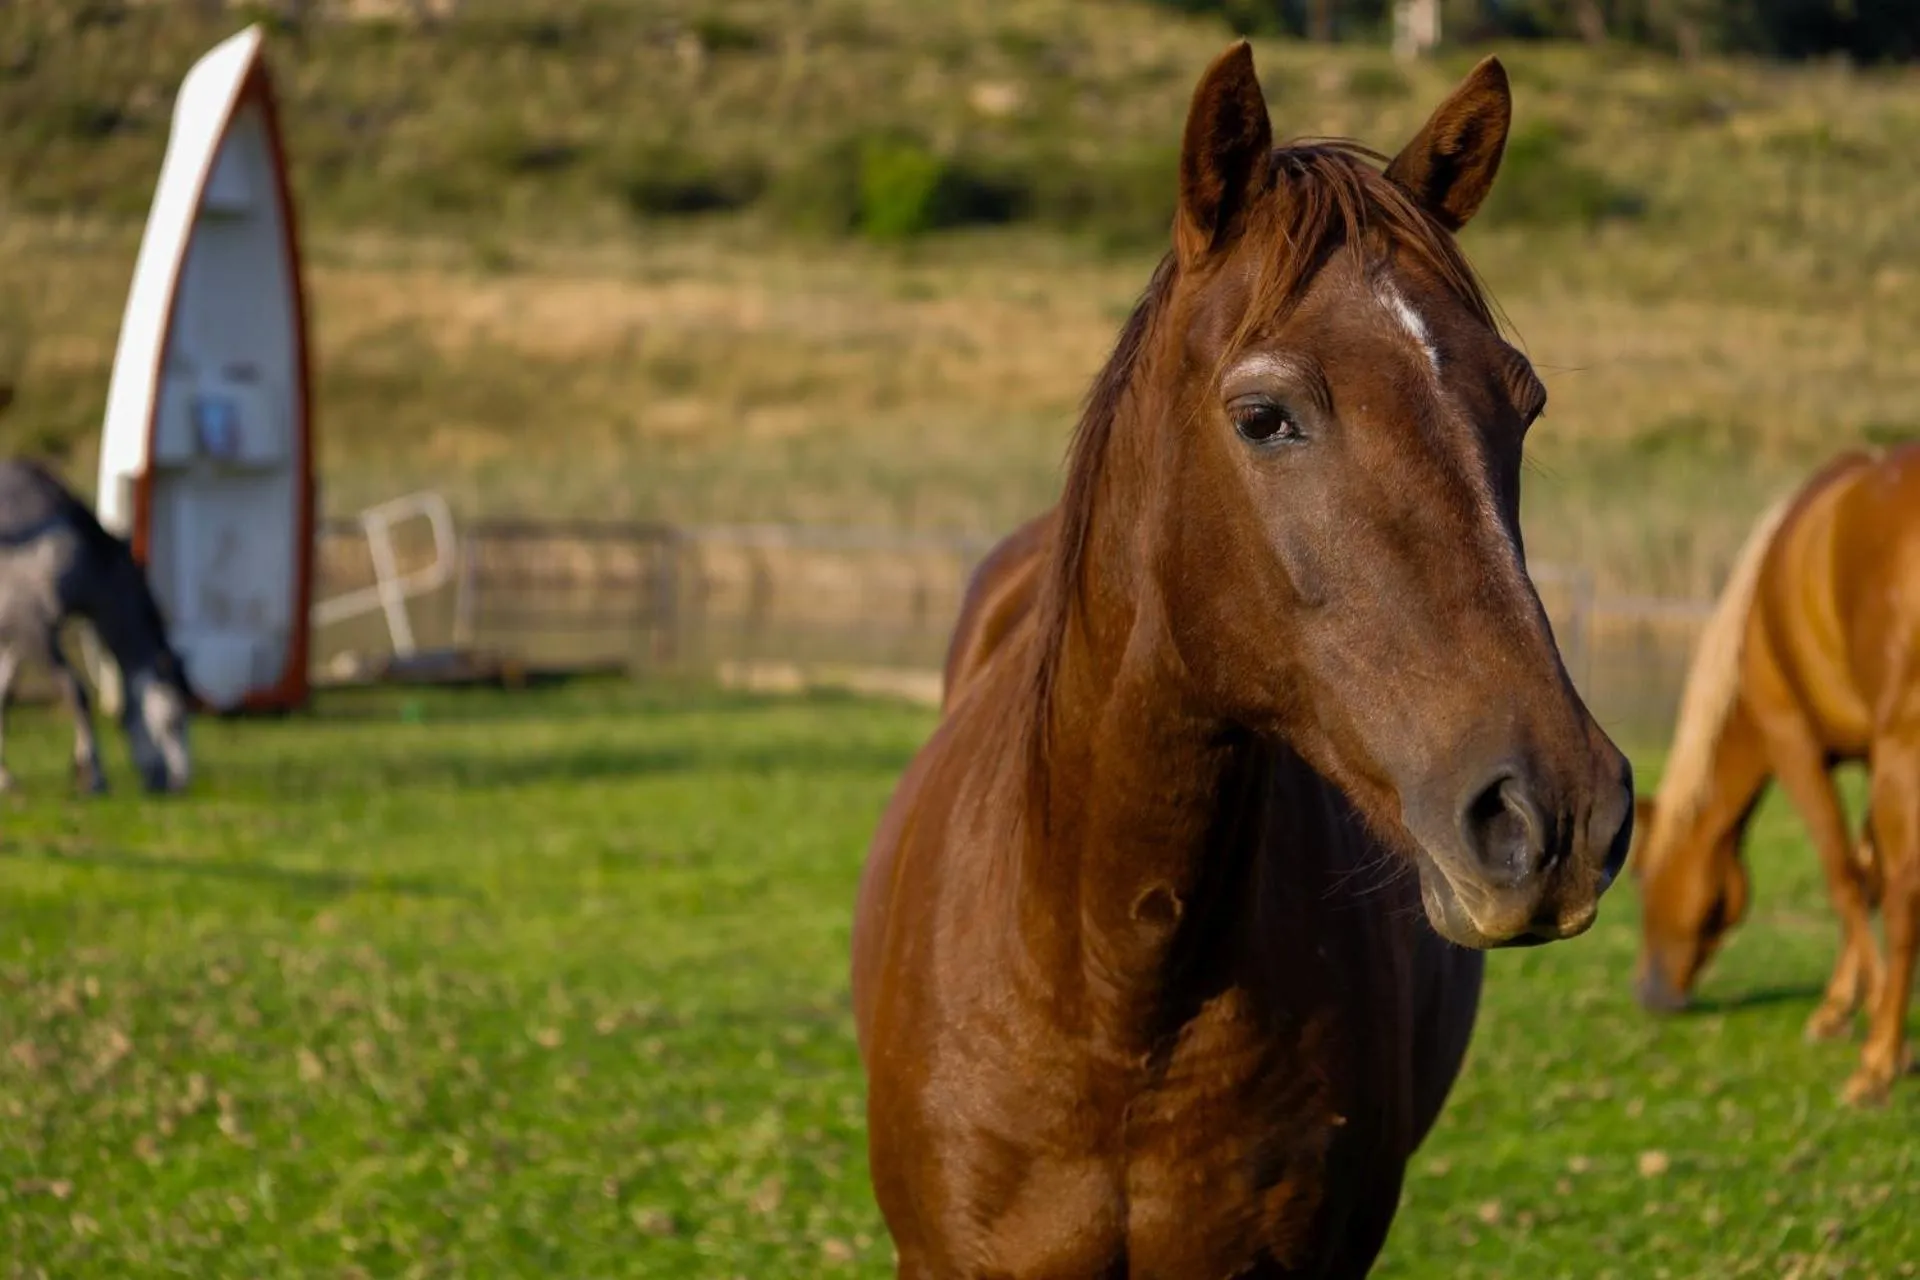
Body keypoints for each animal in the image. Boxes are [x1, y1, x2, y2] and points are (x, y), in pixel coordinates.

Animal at [0, 459, 194, 793]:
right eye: (173, 721)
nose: (179, 783)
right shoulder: (34, 629)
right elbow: (77, 693)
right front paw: (92, 773)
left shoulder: (16, 637)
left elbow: (3, 695)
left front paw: (4, 777)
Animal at [1632, 443, 1920, 1107]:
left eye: (1640, 880)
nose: (1649, 995)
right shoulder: (1875, 756)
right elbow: (1865, 870)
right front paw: (1840, 1006)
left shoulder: (1796, 745)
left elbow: (1847, 877)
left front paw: (1872, 1027)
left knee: (1904, 898)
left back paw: (1875, 1066)